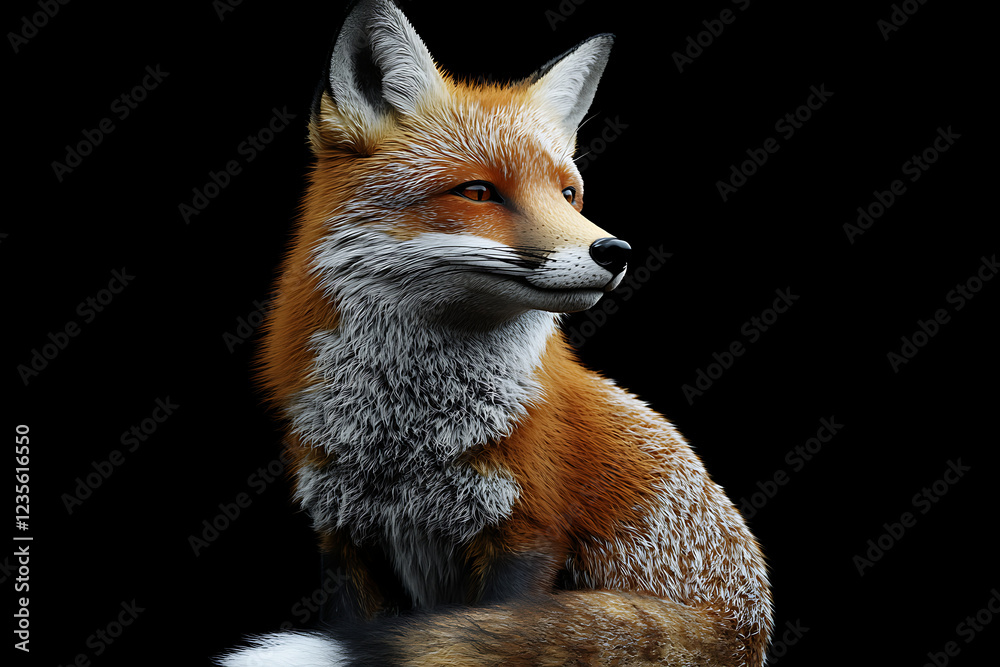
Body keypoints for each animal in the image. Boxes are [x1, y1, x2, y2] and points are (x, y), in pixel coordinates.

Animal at [219, 0, 772, 665]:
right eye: (479, 192)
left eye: (569, 194)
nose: (615, 251)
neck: (404, 435)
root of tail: (746, 625)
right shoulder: (344, 536)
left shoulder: (527, 531)